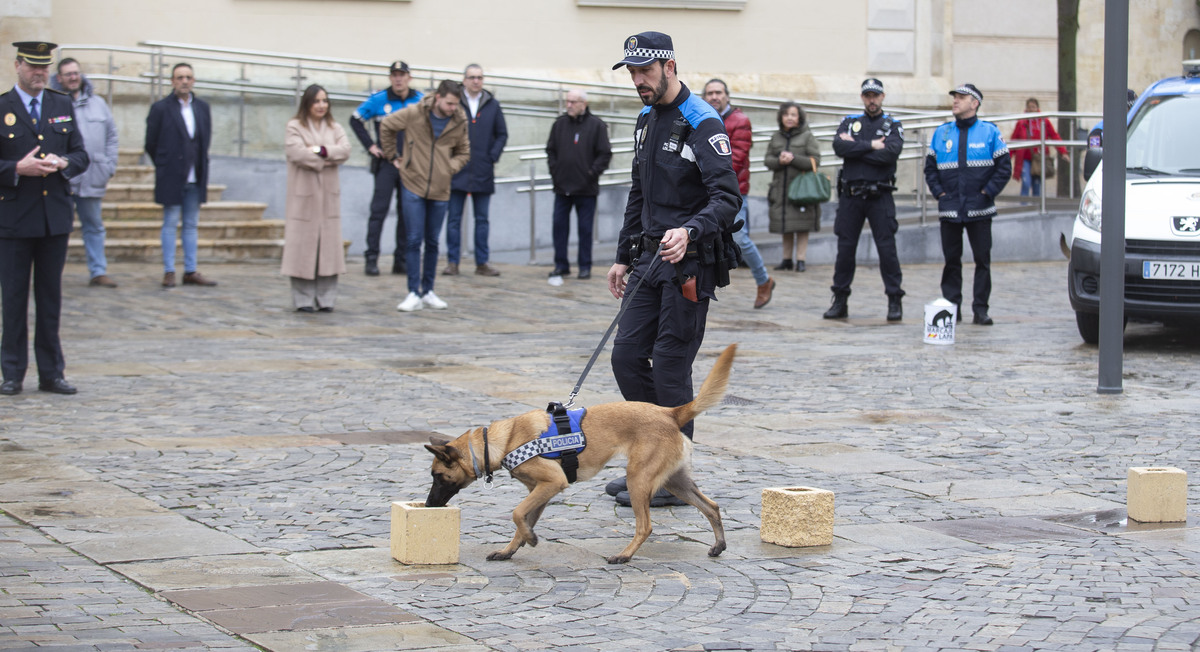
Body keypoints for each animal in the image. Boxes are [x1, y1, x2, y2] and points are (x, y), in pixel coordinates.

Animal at [427, 343, 734, 564]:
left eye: (437, 476)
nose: (429, 505)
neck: (503, 440)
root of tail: (670, 413)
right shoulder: (539, 491)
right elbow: (522, 520)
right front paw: (511, 549)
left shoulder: (552, 483)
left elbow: (516, 513)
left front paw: (531, 540)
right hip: (675, 481)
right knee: (712, 507)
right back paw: (719, 545)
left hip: (637, 480)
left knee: (645, 526)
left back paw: (624, 555)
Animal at [609, 31, 739, 509]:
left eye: (645, 66)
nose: (639, 85)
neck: (668, 105)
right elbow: (636, 190)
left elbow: (723, 193)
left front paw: (681, 235)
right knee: (630, 355)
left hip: (683, 301)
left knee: (668, 362)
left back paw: (666, 489)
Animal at [830, 78, 902, 321]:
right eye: (868, 94)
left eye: (875, 94)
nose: (871, 99)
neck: (871, 117)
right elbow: (845, 140)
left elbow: (887, 144)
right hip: (848, 217)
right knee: (846, 245)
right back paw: (837, 306)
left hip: (882, 216)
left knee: (887, 245)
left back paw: (895, 307)